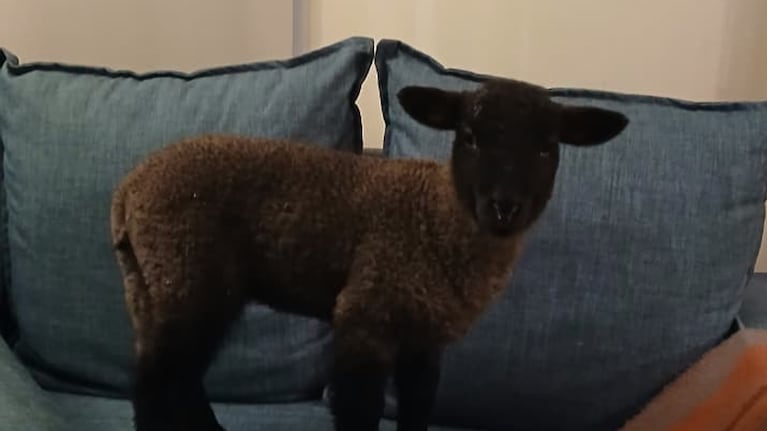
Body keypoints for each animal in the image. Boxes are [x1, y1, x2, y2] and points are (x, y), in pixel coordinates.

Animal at [109, 76, 629, 431]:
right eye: (469, 137)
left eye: (547, 148)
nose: (504, 206)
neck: (438, 218)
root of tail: (130, 188)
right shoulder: (367, 314)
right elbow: (361, 411)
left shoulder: (425, 338)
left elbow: (418, 408)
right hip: (187, 269)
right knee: (156, 379)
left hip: (151, 282)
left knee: (173, 373)